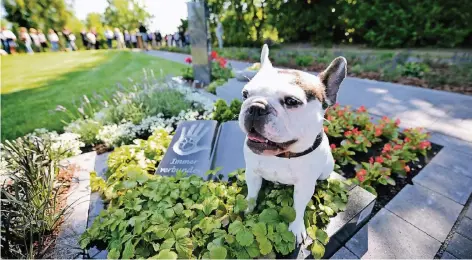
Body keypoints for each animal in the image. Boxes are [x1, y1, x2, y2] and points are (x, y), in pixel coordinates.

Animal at [240, 44, 346, 244]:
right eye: (245, 94)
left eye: (291, 101)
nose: (256, 107)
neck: (280, 156)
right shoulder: (252, 173)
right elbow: (252, 195)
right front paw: (247, 210)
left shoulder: (304, 186)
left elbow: (298, 208)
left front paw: (296, 228)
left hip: (325, 171)